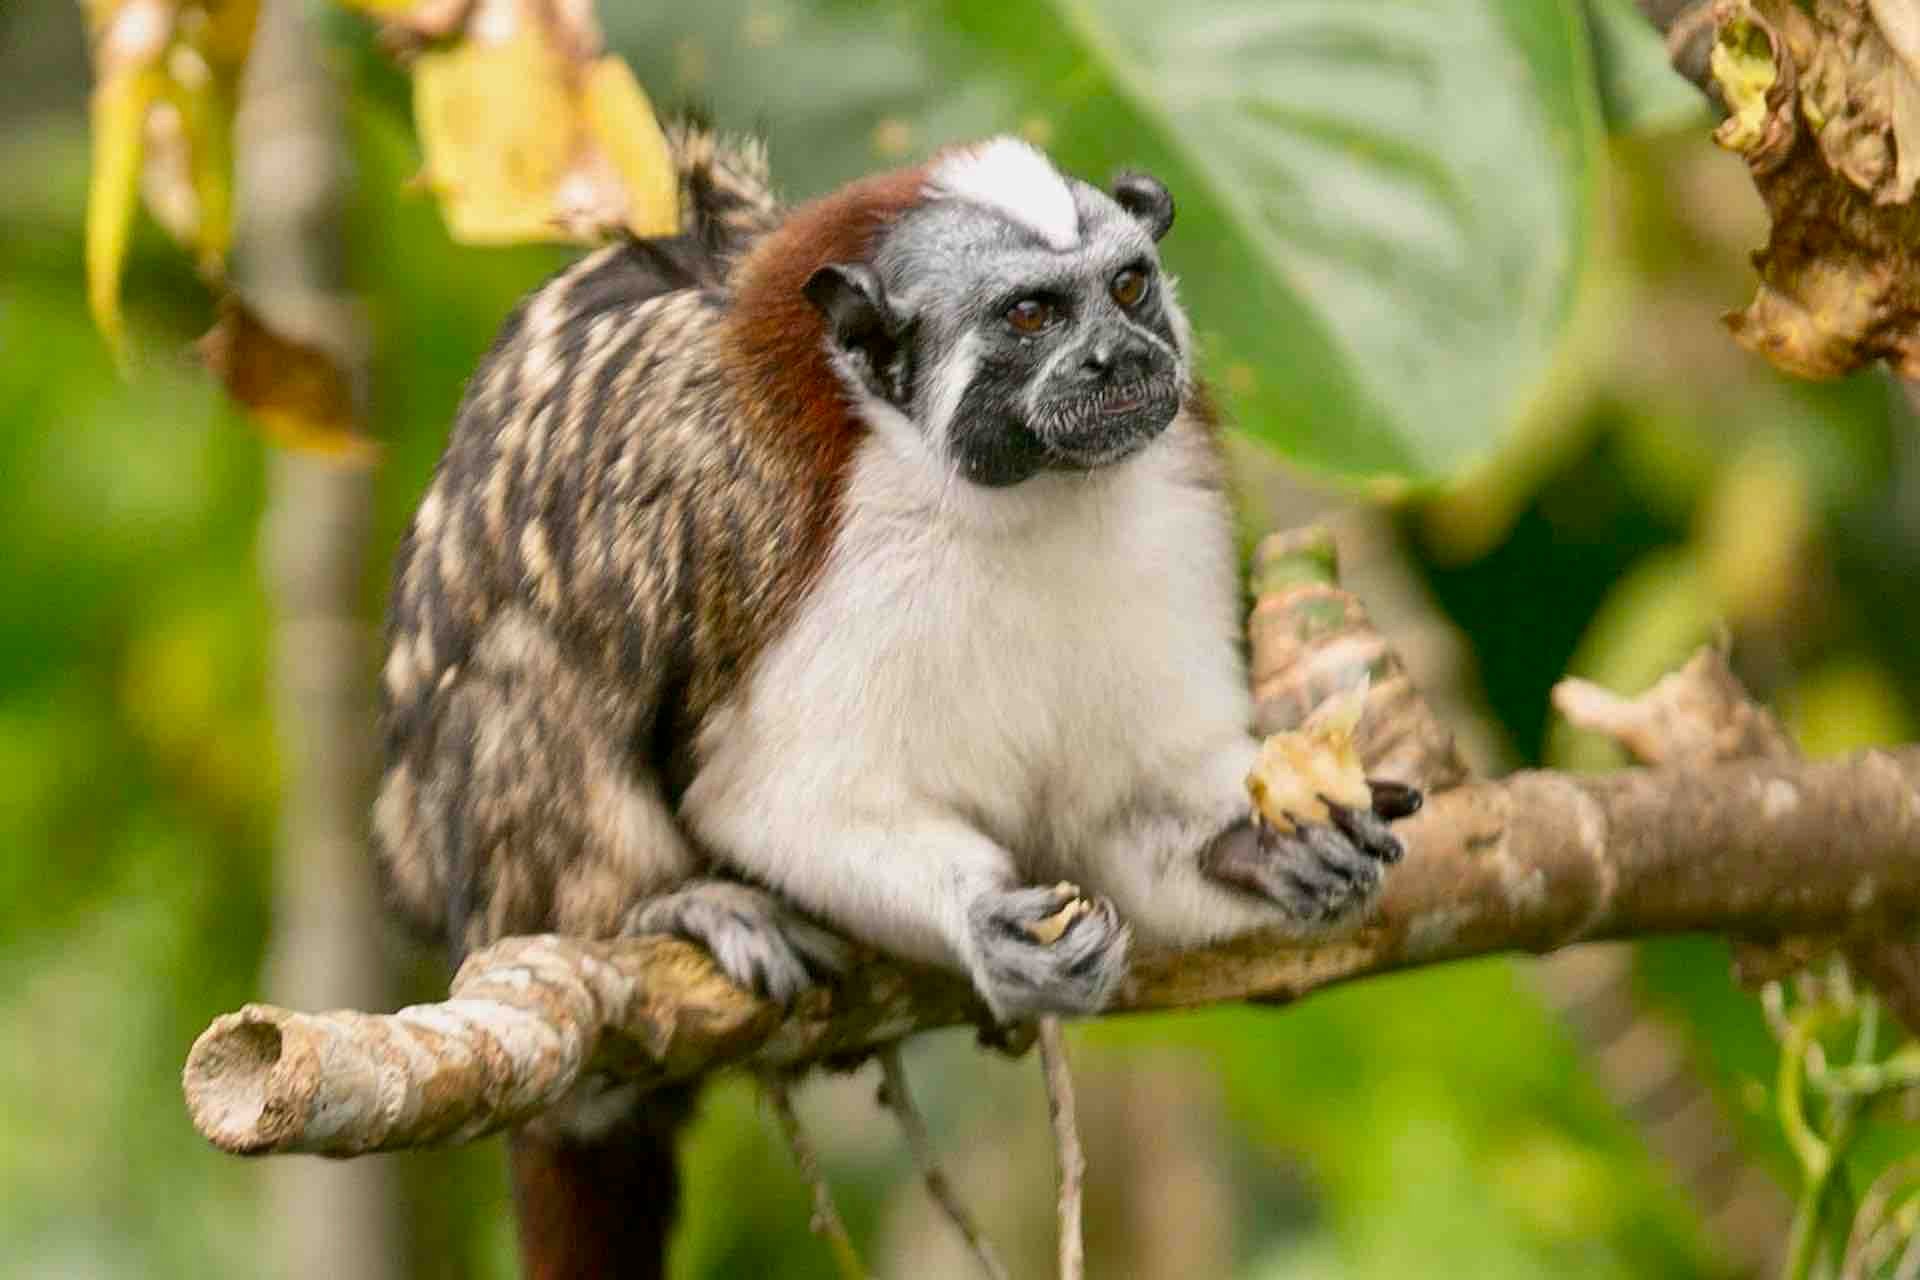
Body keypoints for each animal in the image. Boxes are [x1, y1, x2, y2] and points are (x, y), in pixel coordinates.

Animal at [373, 121, 1417, 1275]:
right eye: (1030, 316)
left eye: (1129, 287)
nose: (1120, 359)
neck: (1025, 495)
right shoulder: (818, 549)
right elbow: (773, 799)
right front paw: (982, 927)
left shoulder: (1172, 491)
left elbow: (1120, 801)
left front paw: (1268, 847)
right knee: (535, 656)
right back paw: (659, 907)